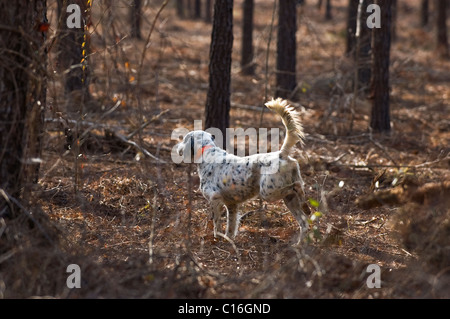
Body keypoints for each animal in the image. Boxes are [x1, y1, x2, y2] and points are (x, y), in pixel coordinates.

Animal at [176, 99, 310, 244]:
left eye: (184, 139)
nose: (177, 147)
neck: (207, 152)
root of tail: (281, 154)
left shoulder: (214, 199)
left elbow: (217, 224)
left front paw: (216, 239)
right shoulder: (232, 205)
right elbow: (231, 226)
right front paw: (228, 240)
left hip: (268, 192)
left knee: (296, 187)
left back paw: (305, 206)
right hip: (288, 199)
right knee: (304, 223)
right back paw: (299, 241)